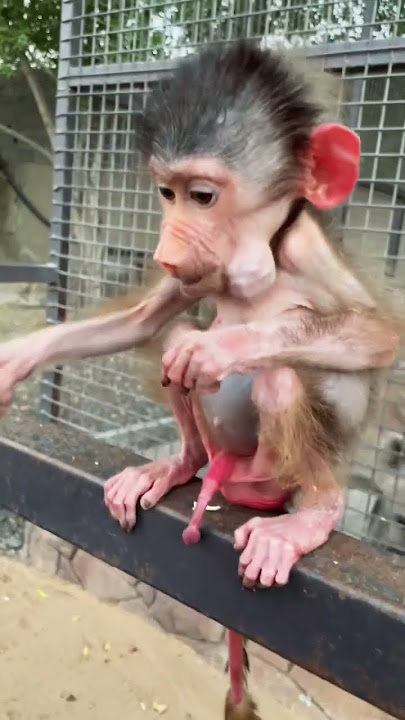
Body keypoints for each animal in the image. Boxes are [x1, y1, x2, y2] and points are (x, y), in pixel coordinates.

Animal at [0, 41, 401, 719]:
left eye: (204, 196)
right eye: (167, 192)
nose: (167, 247)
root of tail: (233, 481)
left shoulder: (302, 244)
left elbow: (378, 335)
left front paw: (224, 346)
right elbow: (145, 321)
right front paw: (20, 356)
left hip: (273, 475)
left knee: (281, 381)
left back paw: (312, 509)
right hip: (219, 455)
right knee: (172, 346)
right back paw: (179, 463)